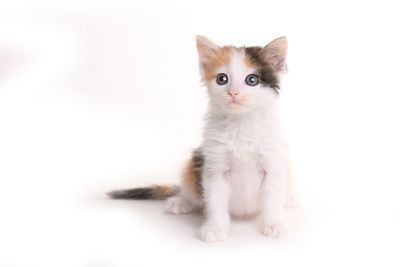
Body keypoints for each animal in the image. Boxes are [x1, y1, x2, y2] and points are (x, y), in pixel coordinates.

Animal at [108, 35, 296, 243]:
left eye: (252, 80)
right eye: (222, 79)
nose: (233, 93)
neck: (240, 124)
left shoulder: (273, 164)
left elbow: (273, 199)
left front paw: (274, 224)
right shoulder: (214, 166)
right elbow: (215, 200)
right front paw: (215, 228)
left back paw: (288, 200)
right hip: (193, 166)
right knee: (189, 189)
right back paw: (181, 202)